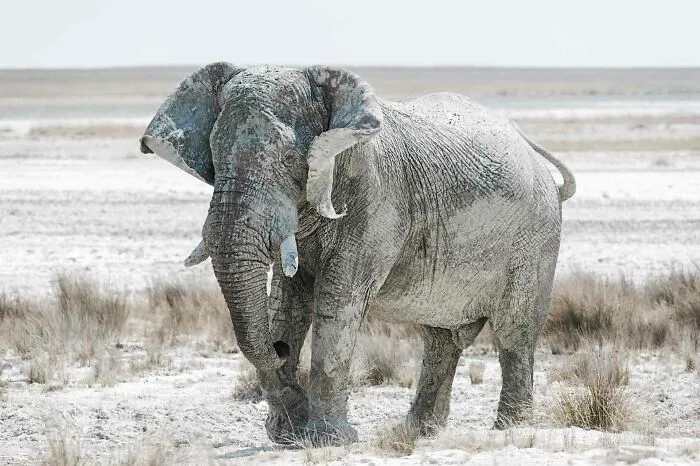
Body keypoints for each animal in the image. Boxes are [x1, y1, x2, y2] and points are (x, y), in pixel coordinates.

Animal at [139, 63, 576, 446]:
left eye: (289, 159)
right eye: (214, 158)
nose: (280, 351)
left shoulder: (376, 201)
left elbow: (338, 300)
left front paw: (327, 440)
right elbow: (287, 302)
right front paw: (289, 435)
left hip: (535, 239)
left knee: (514, 331)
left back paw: (509, 431)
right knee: (440, 340)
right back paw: (417, 432)